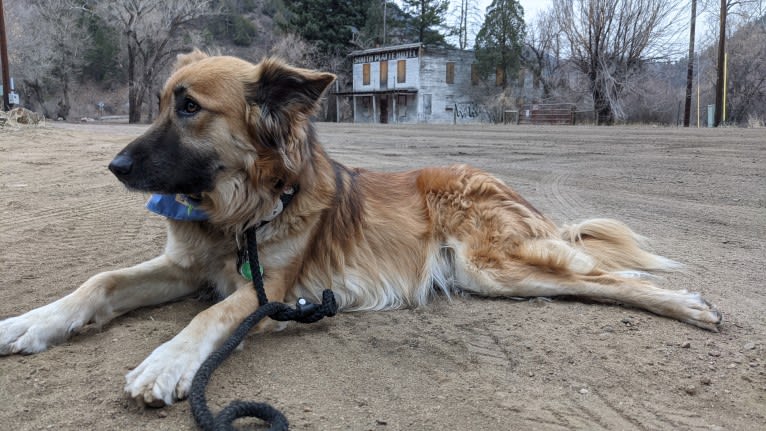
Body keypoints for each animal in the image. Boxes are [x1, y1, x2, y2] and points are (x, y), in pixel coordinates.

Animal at [0, 51, 724, 408]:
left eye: (188, 107)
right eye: (158, 104)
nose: (115, 166)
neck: (238, 210)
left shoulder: (265, 289)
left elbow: (207, 319)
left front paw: (165, 362)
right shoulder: (182, 266)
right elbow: (99, 280)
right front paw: (31, 322)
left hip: (493, 264)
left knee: (607, 277)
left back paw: (687, 304)